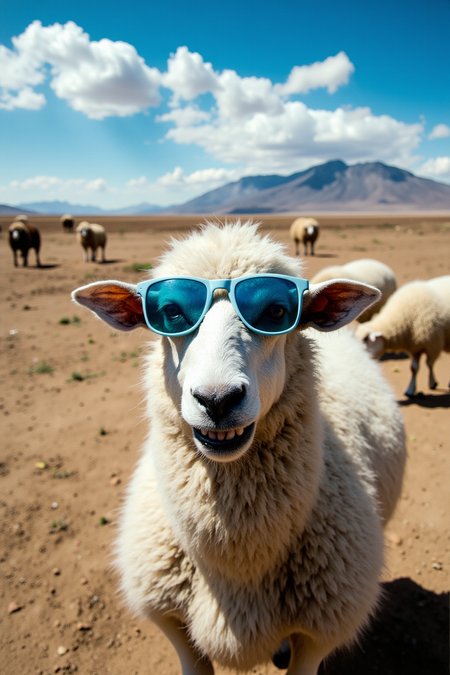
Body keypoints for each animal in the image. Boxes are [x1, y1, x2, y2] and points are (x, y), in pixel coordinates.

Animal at [72, 221, 406, 675]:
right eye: (170, 313)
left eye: (278, 312)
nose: (217, 400)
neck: (238, 565)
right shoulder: (173, 623)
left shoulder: (319, 632)